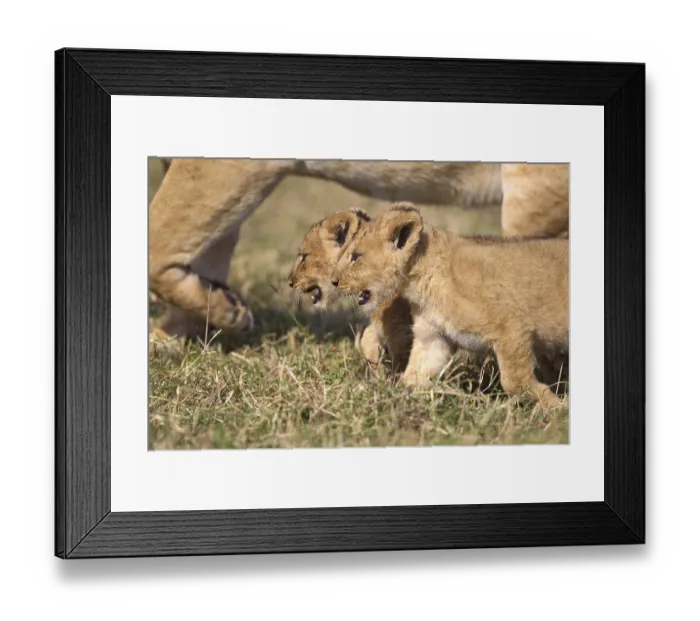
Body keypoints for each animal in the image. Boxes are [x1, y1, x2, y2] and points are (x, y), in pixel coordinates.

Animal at [331, 203, 569, 407]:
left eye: (356, 257)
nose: (334, 281)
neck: (423, 280)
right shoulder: (433, 337)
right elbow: (414, 374)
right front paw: (397, 398)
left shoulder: (511, 327)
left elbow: (514, 381)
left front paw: (556, 408)